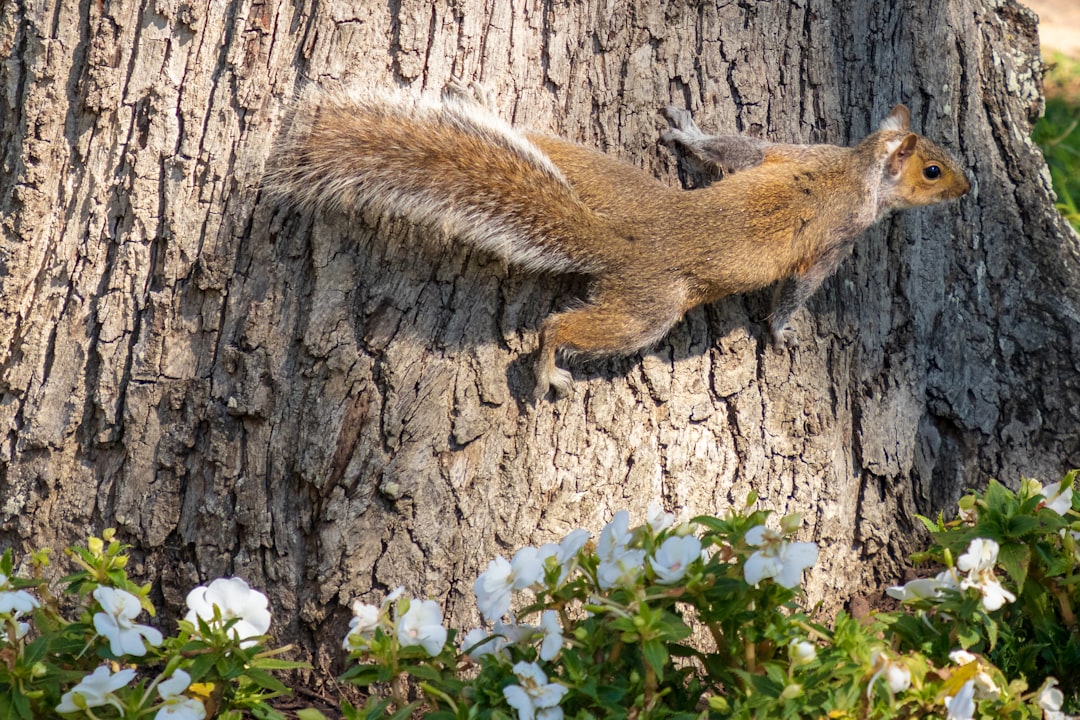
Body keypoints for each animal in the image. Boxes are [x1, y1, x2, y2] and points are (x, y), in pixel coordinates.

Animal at [265, 85, 976, 399]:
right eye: (933, 171)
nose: (969, 189)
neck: (856, 169)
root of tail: (618, 239)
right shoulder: (837, 238)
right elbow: (796, 290)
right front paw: (784, 334)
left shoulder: (786, 152)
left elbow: (736, 150)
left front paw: (688, 133)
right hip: (647, 310)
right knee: (559, 325)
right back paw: (548, 369)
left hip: (605, 181)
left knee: (548, 151)